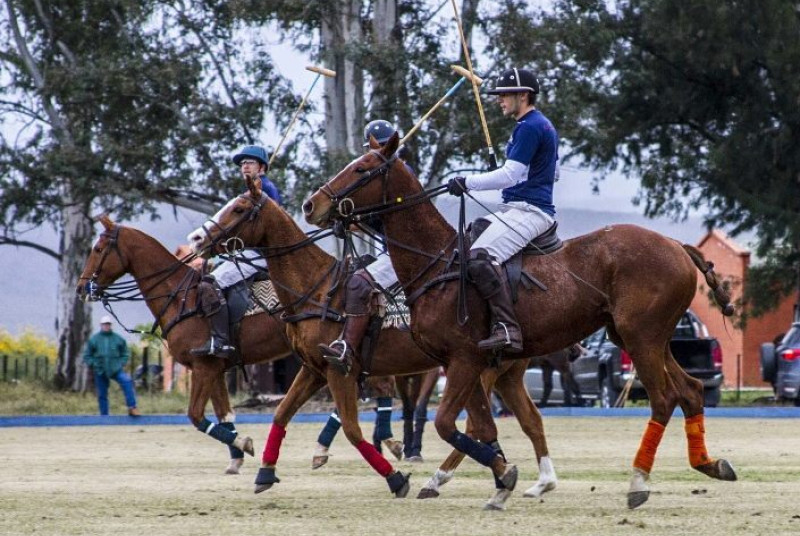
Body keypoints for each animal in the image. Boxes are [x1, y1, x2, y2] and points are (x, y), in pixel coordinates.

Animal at [186, 176, 558, 508]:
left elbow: (352, 429)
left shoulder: (340, 370)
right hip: (502, 373)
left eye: (239, 208)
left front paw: (395, 478)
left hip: (474, 369)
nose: (196, 238)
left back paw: (451, 478)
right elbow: (281, 413)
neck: (315, 289)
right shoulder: (314, 369)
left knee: (475, 423)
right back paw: (534, 480)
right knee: (524, 420)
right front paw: (264, 471)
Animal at [302, 132, 737, 509]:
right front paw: (500, 483)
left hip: (640, 336)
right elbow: (482, 427)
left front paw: (501, 476)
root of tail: (677, 246)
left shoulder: (465, 359)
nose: (310, 205)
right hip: (642, 336)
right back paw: (710, 464)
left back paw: (638, 483)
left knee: (663, 399)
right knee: (691, 389)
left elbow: (448, 424)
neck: (434, 262)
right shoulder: (464, 363)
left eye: (363, 168)